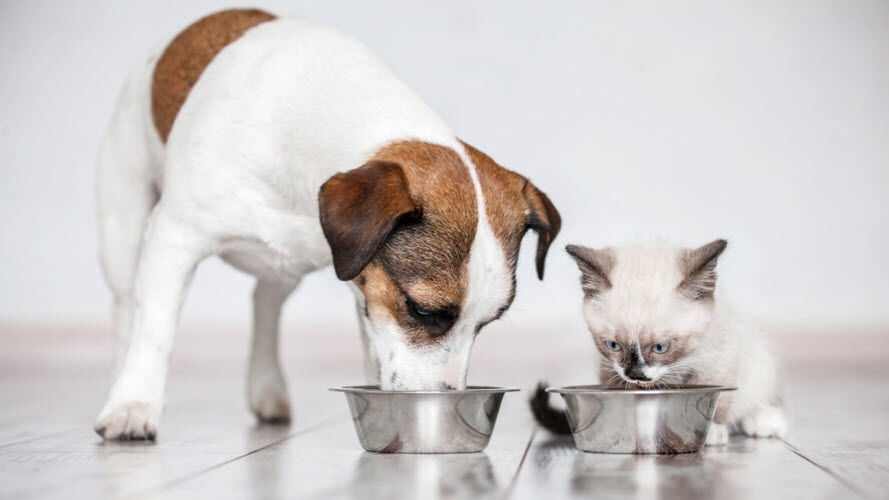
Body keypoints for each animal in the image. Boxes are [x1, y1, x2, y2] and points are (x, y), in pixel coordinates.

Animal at [93, 8, 560, 442]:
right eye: (422, 310)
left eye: (488, 322)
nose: (446, 395)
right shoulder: (175, 236)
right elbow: (154, 327)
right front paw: (134, 403)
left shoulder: (365, 285)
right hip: (124, 225)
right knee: (125, 307)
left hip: (284, 264)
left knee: (265, 303)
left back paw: (267, 386)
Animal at [528, 240, 784, 444]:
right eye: (613, 345)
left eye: (660, 347)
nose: (635, 374)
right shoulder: (609, 368)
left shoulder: (719, 359)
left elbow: (719, 398)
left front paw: (710, 430)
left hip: (759, 362)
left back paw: (765, 420)